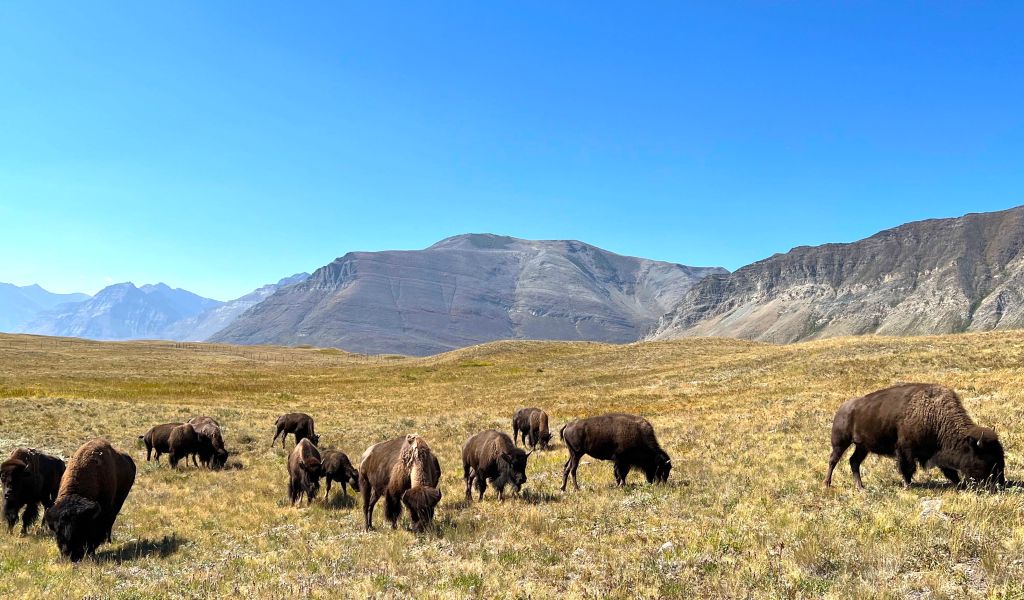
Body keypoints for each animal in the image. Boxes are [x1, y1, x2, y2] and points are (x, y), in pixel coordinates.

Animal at [826, 383, 1007, 489]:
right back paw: (827, 484)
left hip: (862, 447)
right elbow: (907, 468)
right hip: (840, 442)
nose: (999, 484)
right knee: (833, 460)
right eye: (986, 458)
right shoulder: (905, 449)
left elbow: (949, 470)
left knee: (854, 462)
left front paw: (959, 484)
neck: (935, 415)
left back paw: (861, 487)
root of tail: (843, 408)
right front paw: (908, 485)